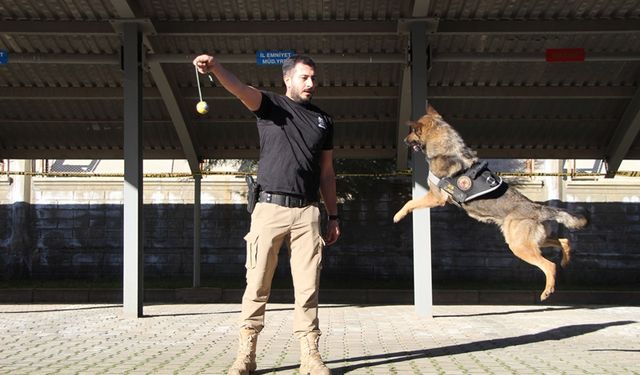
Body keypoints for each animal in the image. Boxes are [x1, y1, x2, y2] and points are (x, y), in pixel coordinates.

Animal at [392, 106, 588, 302]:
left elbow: (410, 202)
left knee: (549, 265)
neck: (446, 148)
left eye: (412, 132)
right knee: (564, 241)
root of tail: (538, 208)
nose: (403, 140)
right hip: (534, 241)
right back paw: (565, 260)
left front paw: (398, 215)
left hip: (519, 246)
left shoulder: (435, 197)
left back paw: (547, 290)